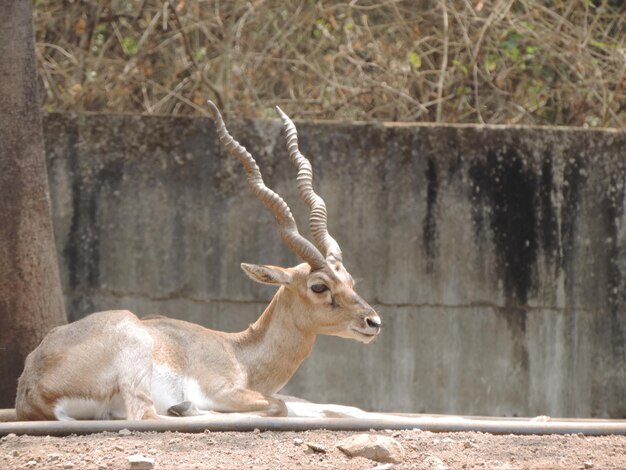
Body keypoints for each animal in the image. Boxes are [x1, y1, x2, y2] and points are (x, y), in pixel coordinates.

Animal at [15, 101, 380, 420]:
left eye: (350, 281)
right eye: (319, 286)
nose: (373, 321)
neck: (238, 352)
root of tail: (30, 387)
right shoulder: (223, 391)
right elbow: (280, 405)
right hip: (133, 348)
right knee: (146, 415)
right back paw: (182, 408)